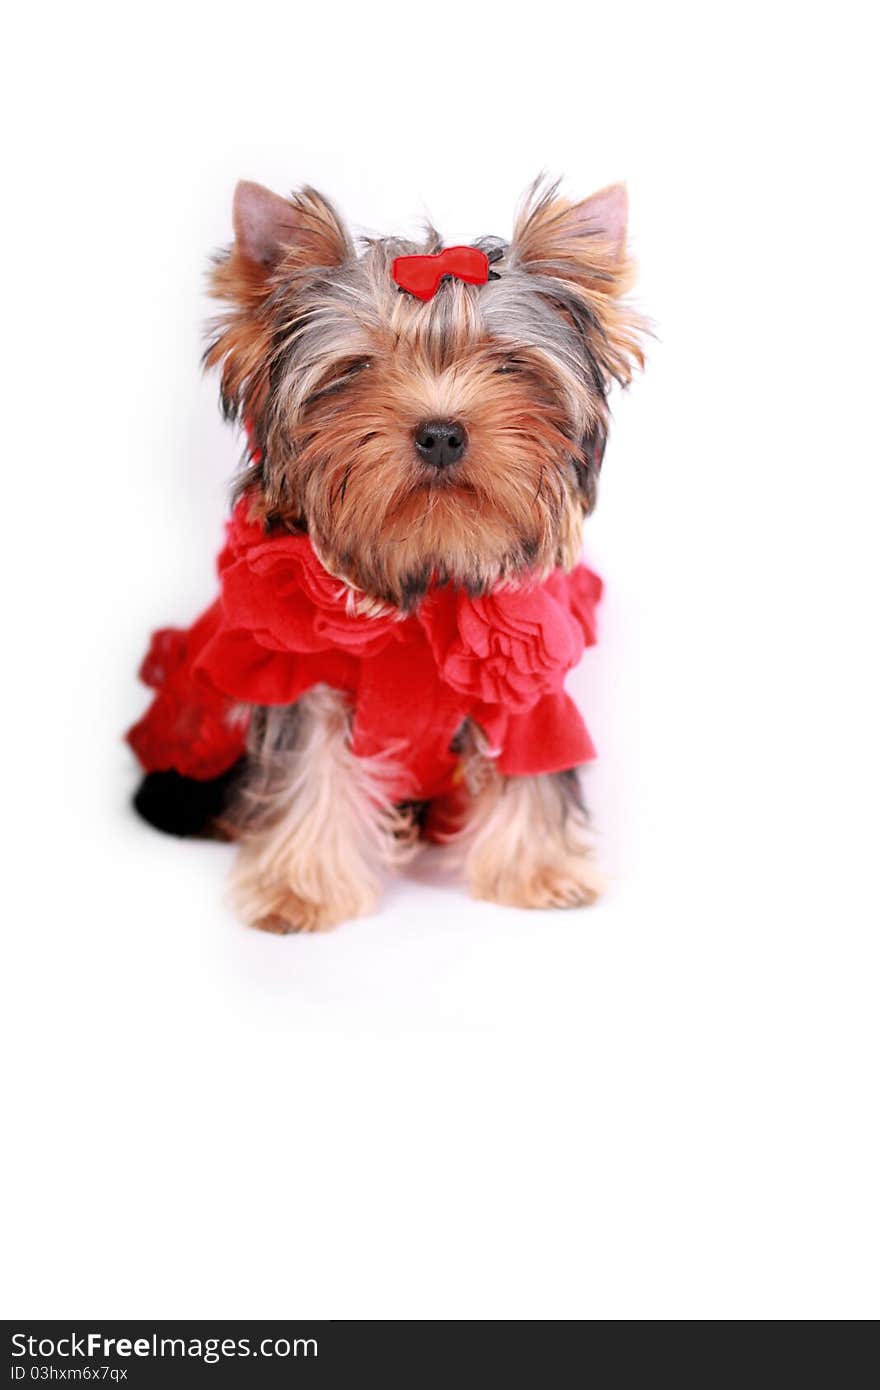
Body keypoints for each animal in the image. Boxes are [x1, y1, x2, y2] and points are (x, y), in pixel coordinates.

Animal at [130, 176, 647, 934]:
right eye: (357, 367)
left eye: (510, 363)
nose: (441, 432)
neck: (425, 564)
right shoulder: (298, 677)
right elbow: (308, 768)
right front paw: (301, 890)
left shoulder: (528, 686)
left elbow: (534, 761)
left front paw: (539, 871)